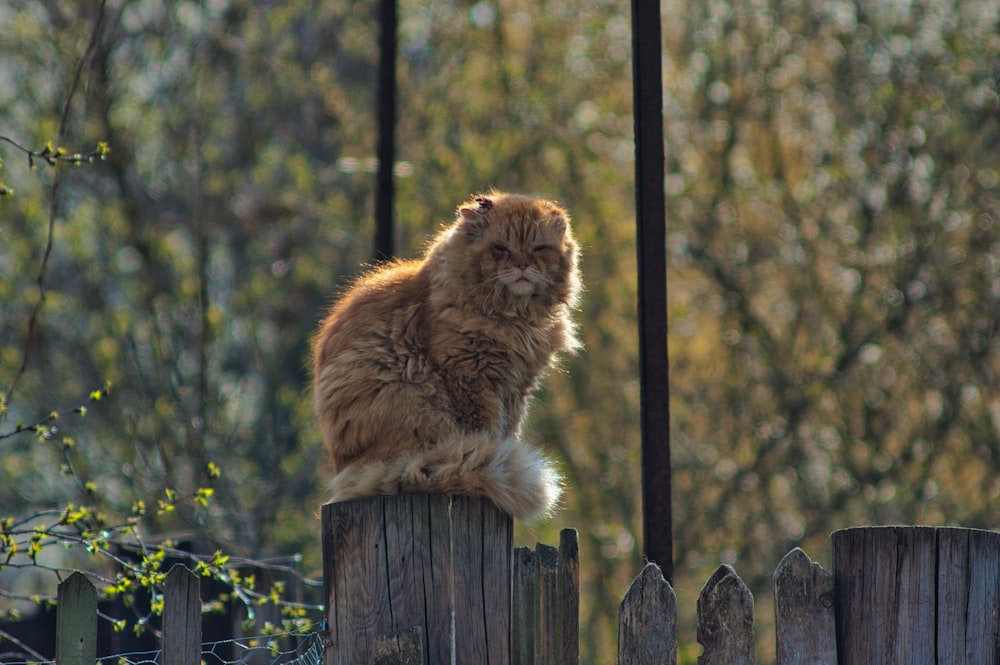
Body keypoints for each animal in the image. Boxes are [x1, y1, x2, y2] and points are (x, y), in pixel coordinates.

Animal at [310, 191, 580, 520]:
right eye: (500, 248)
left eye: (539, 249)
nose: (522, 265)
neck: (515, 318)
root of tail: (346, 470)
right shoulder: (472, 377)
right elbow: (486, 432)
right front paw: (492, 455)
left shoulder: (517, 387)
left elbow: (507, 432)